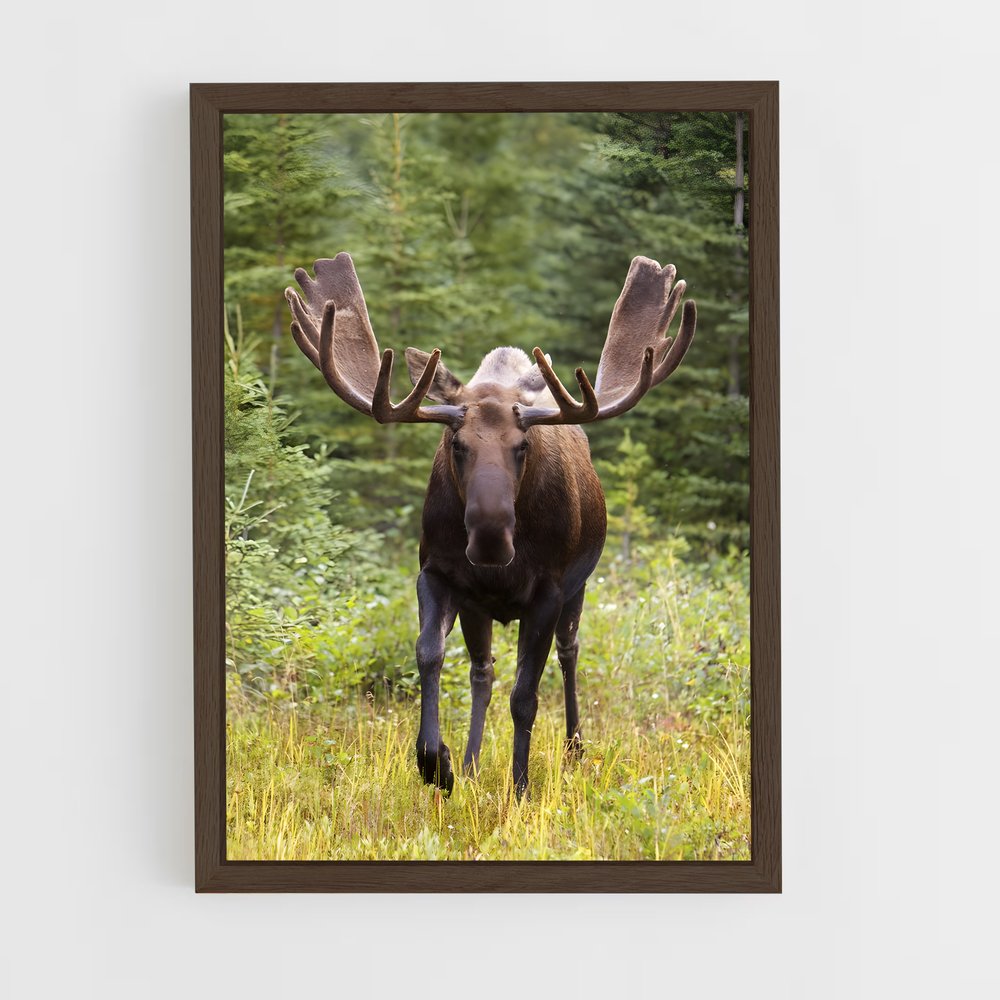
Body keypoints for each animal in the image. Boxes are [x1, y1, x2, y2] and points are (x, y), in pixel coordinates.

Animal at [285, 252, 696, 797]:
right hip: (478, 607)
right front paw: (436, 762)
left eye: (522, 445)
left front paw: (520, 788)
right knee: (483, 671)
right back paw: (473, 761)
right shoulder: (437, 575)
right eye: (456, 443)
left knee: (569, 653)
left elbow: (526, 697)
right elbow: (429, 656)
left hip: (579, 587)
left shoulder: (548, 591)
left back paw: (573, 748)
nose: (490, 539)